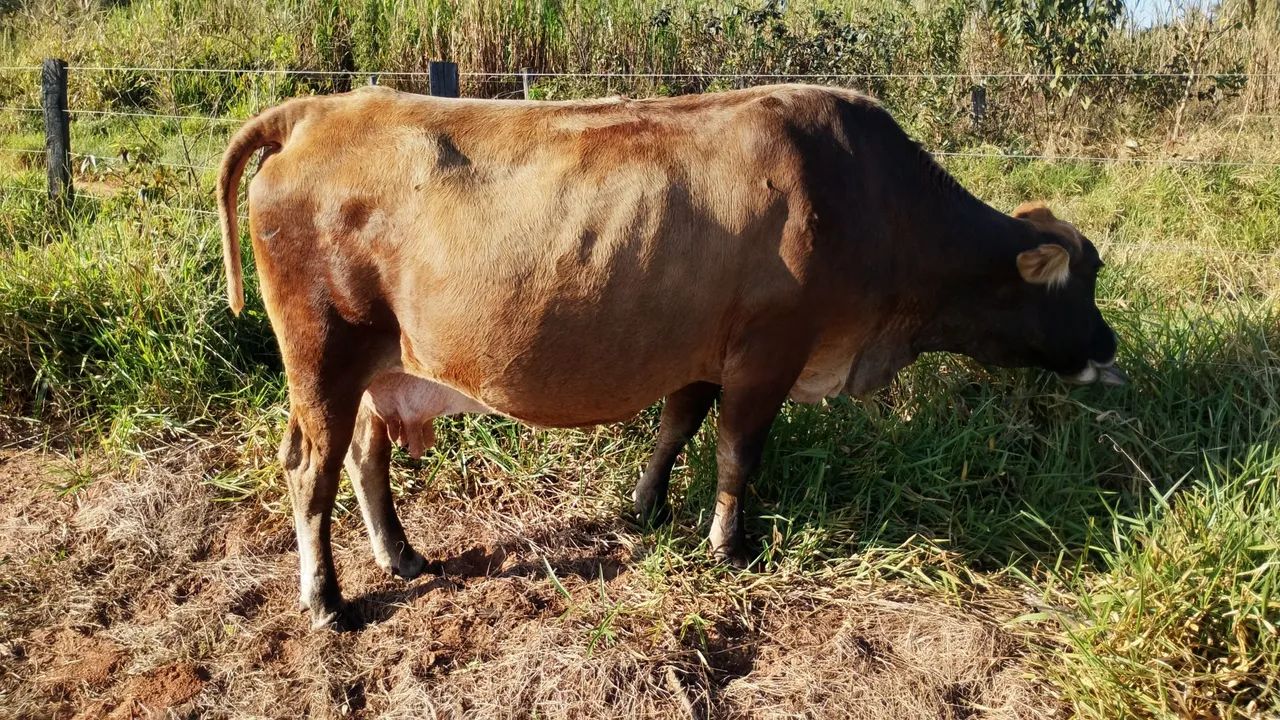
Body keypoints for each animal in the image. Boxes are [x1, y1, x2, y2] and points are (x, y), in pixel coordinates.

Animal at [216, 83, 1125, 628]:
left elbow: (676, 428)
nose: (1110, 348)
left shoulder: (702, 354)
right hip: (325, 356)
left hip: (386, 365)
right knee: (311, 471)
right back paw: (327, 599)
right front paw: (729, 543)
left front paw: (647, 507)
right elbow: (737, 451)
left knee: (366, 457)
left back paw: (401, 553)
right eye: (1080, 282)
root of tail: (321, 109)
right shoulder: (768, 350)